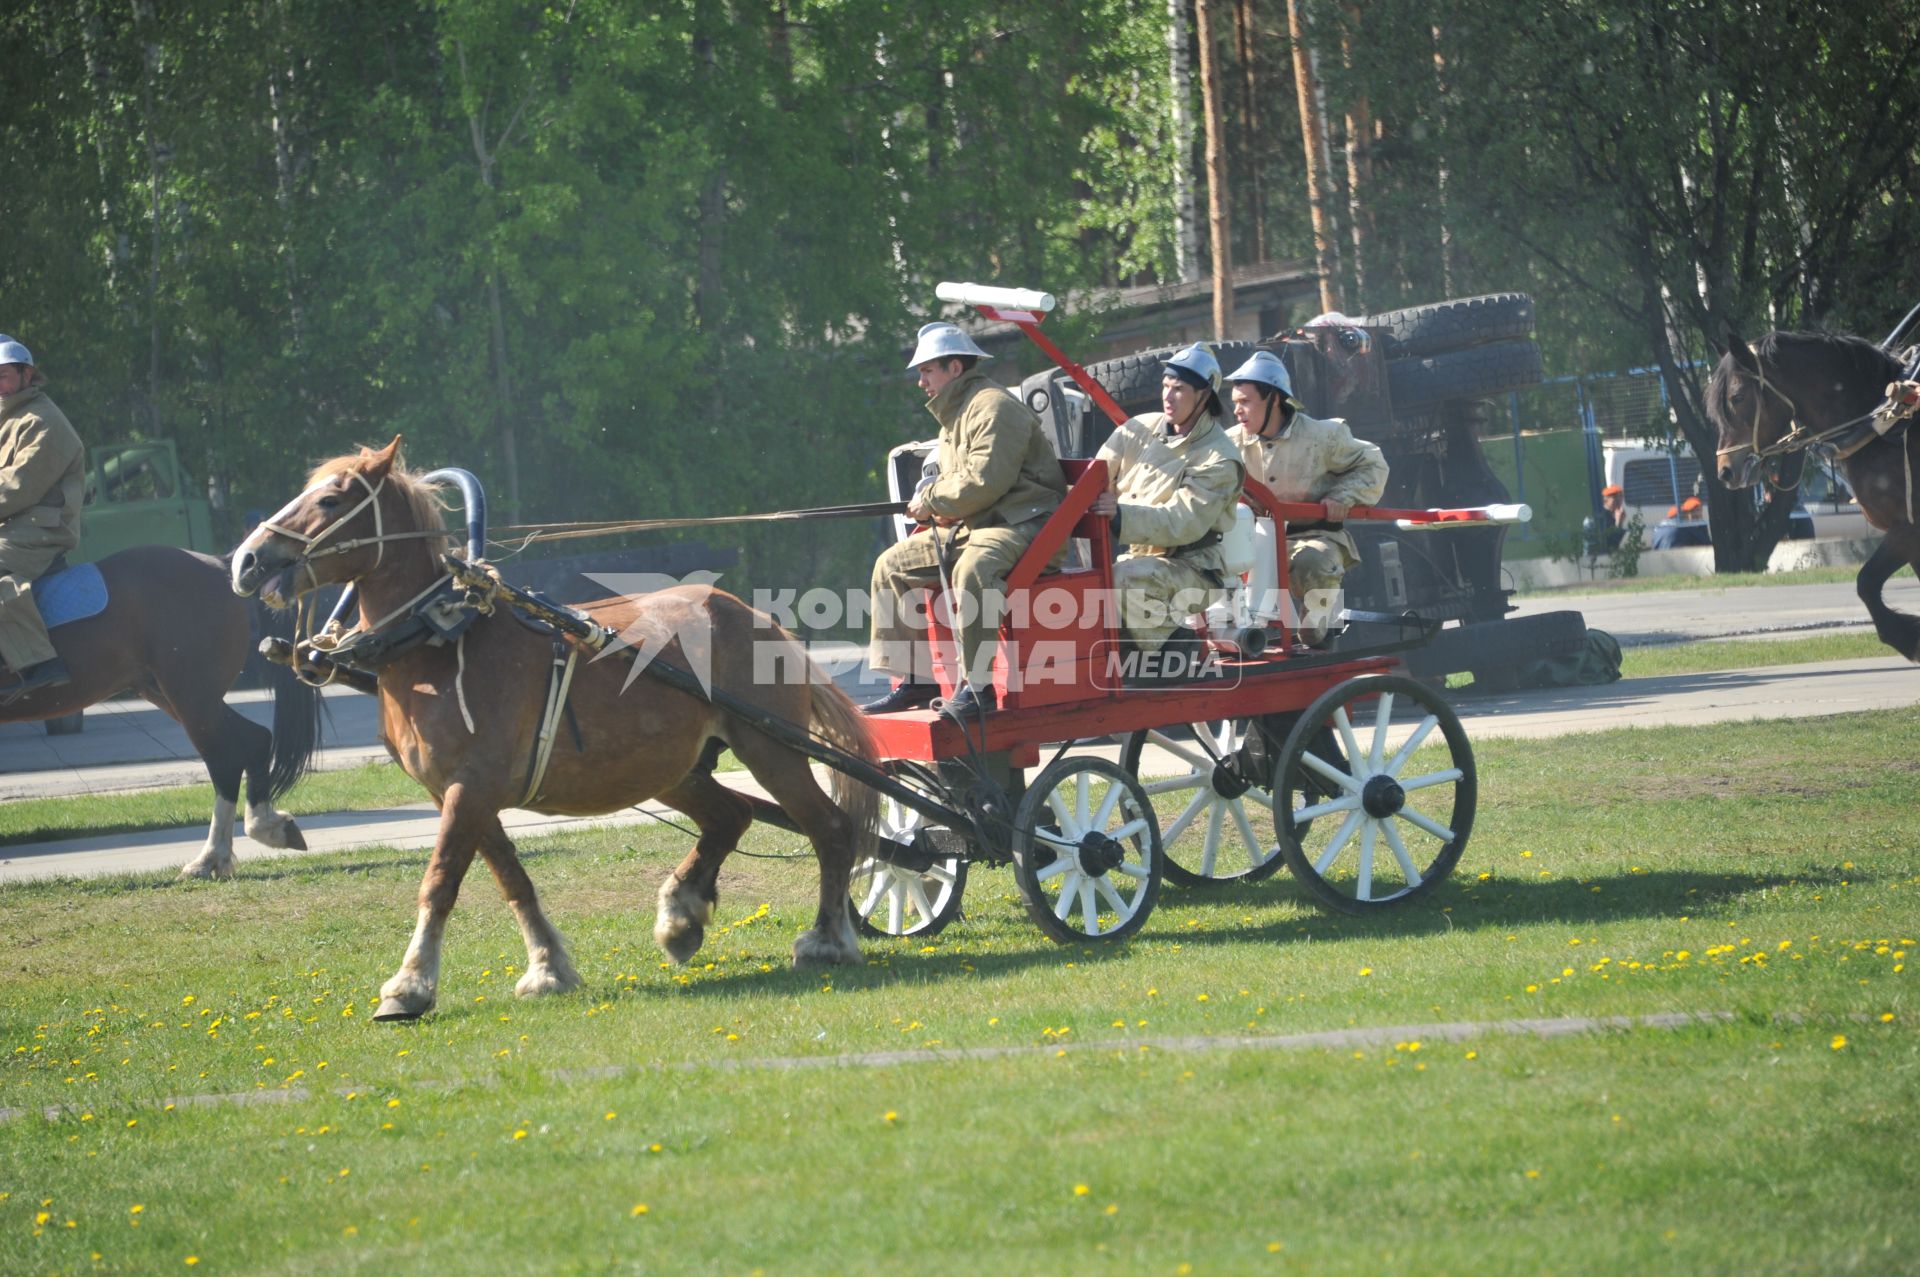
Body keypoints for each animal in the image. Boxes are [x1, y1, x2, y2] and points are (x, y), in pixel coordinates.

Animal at [3, 541, 318, 871]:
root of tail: (221, 565)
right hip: (177, 694)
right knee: (253, 739)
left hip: (192, 697)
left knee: (225, 757)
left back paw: (213, 855)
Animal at [228, 437, 879, 1013]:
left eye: (331, 499)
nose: (246, 560)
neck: (438, 637)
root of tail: (757, 617)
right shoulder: (459, 792)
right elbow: (512, 878)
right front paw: (547, 967)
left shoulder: (470, 787)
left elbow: (440, 880)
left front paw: (410, 986)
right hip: (672, 768)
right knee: (731, 815)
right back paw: (682, 915)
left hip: (770, 747)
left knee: (830, 828)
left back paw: (826, 939)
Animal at [1712, 328, 1920, 656]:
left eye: (1737, 397)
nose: (1725, 470)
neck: (1884, 427)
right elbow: (1868, 584)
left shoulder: (1908, 529)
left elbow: (1866, 581)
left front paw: (1907, 637)